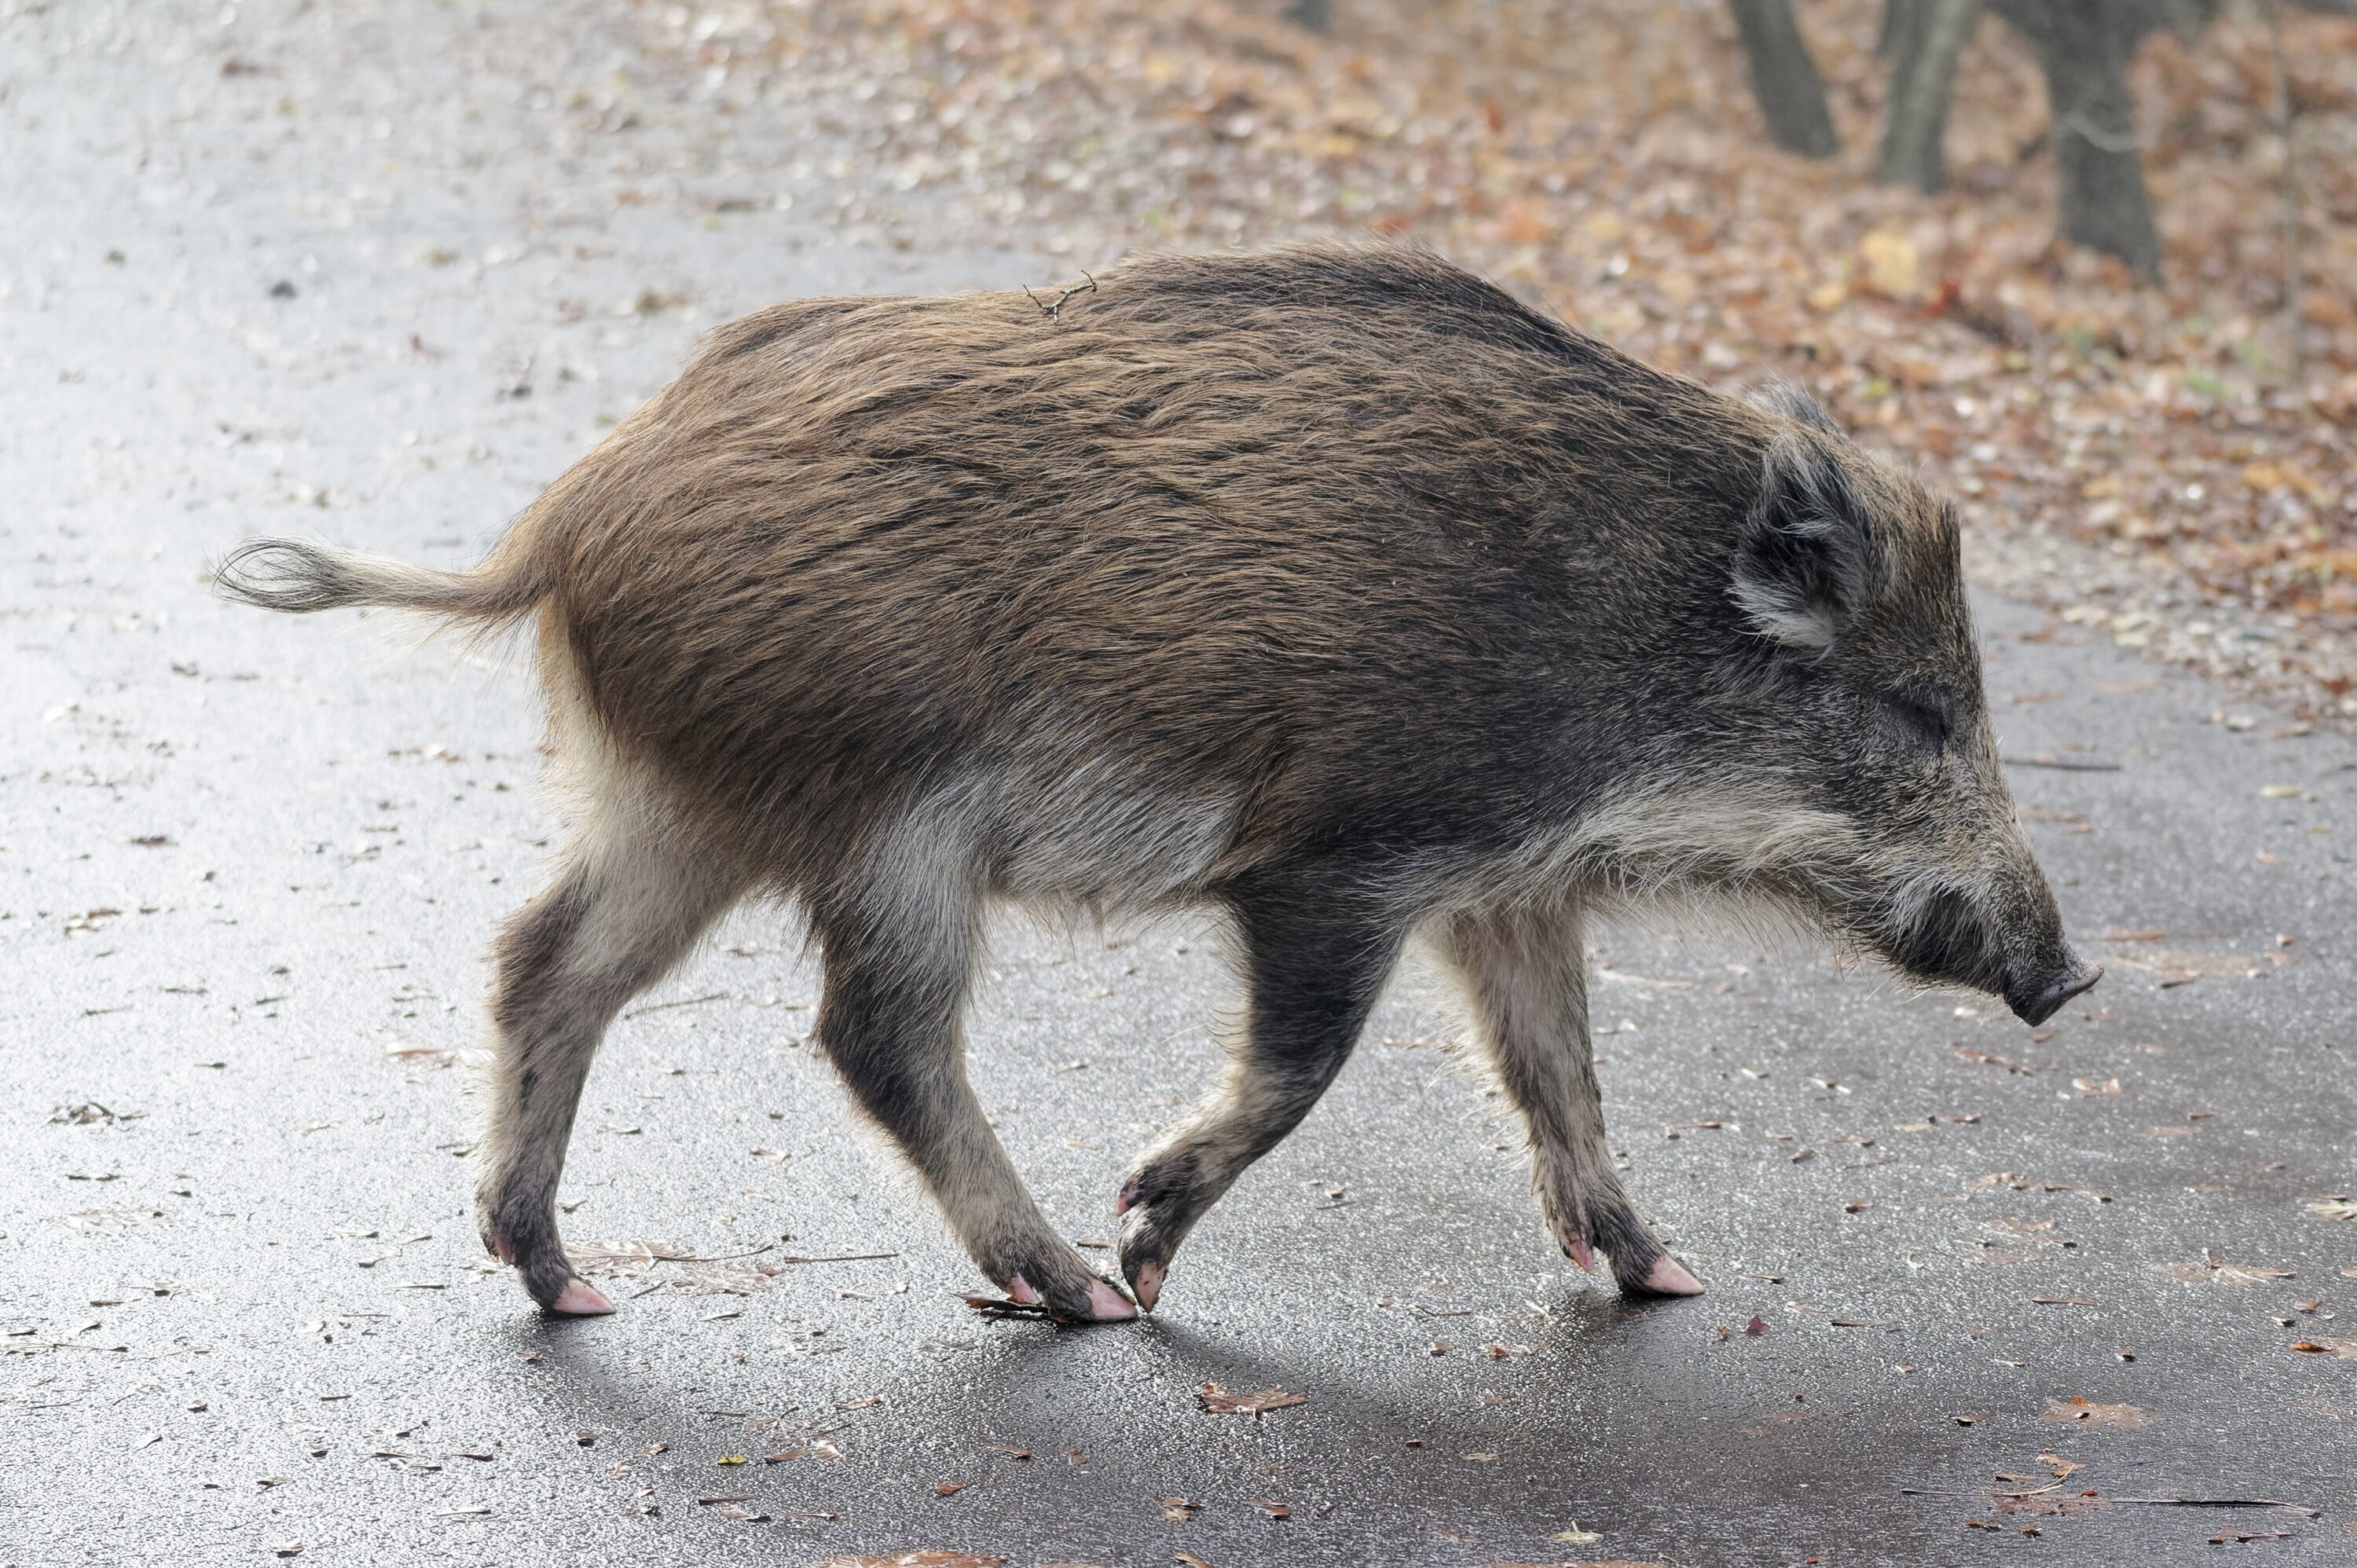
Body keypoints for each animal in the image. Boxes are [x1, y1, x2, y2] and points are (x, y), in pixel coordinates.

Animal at [214, 242, 2098, 1324]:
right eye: (1924, 710)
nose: (2071, 971)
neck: (1616, 624)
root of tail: (566, 522)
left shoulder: (1505, 881)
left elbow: (1559, 1071)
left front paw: (1666, 1273)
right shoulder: (1337, 856)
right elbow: (1309, 1064)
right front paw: (1149, 1244)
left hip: (689, 809)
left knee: (548, 964)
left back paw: (569, 1285)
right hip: (885, 830)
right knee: (875, 1038)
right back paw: (1075, 1295)